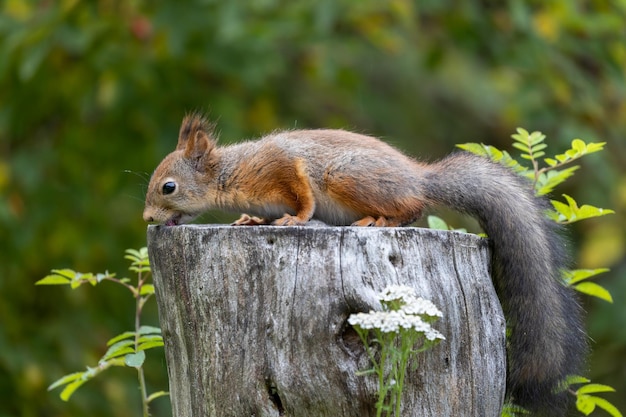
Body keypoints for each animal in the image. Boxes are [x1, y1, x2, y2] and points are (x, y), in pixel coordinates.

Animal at [144, 114, 584, 416]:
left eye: (169, 187)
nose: (147, 218)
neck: (229, 173)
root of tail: (418, 177)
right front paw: (252, 221)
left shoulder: (281, 166)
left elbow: (302, 193)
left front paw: (296, 218)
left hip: (345, 176)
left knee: (412, 206)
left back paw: (379, 220)